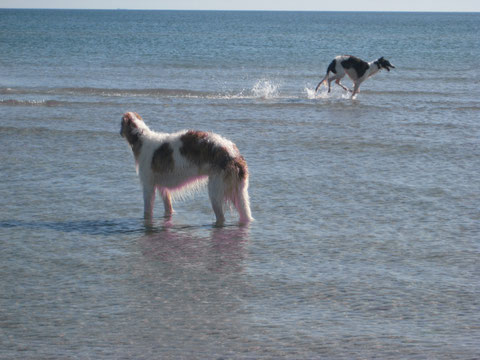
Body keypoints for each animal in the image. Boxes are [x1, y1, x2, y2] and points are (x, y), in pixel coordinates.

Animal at [120, 111, 253, 226]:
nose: (119, 133)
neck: (141, 136)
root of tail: (235, 156)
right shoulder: (163, 189)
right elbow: (168, 208)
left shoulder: (148, 186)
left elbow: (147, 212)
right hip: (239, 193)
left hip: (216, 190)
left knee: (221, 217)